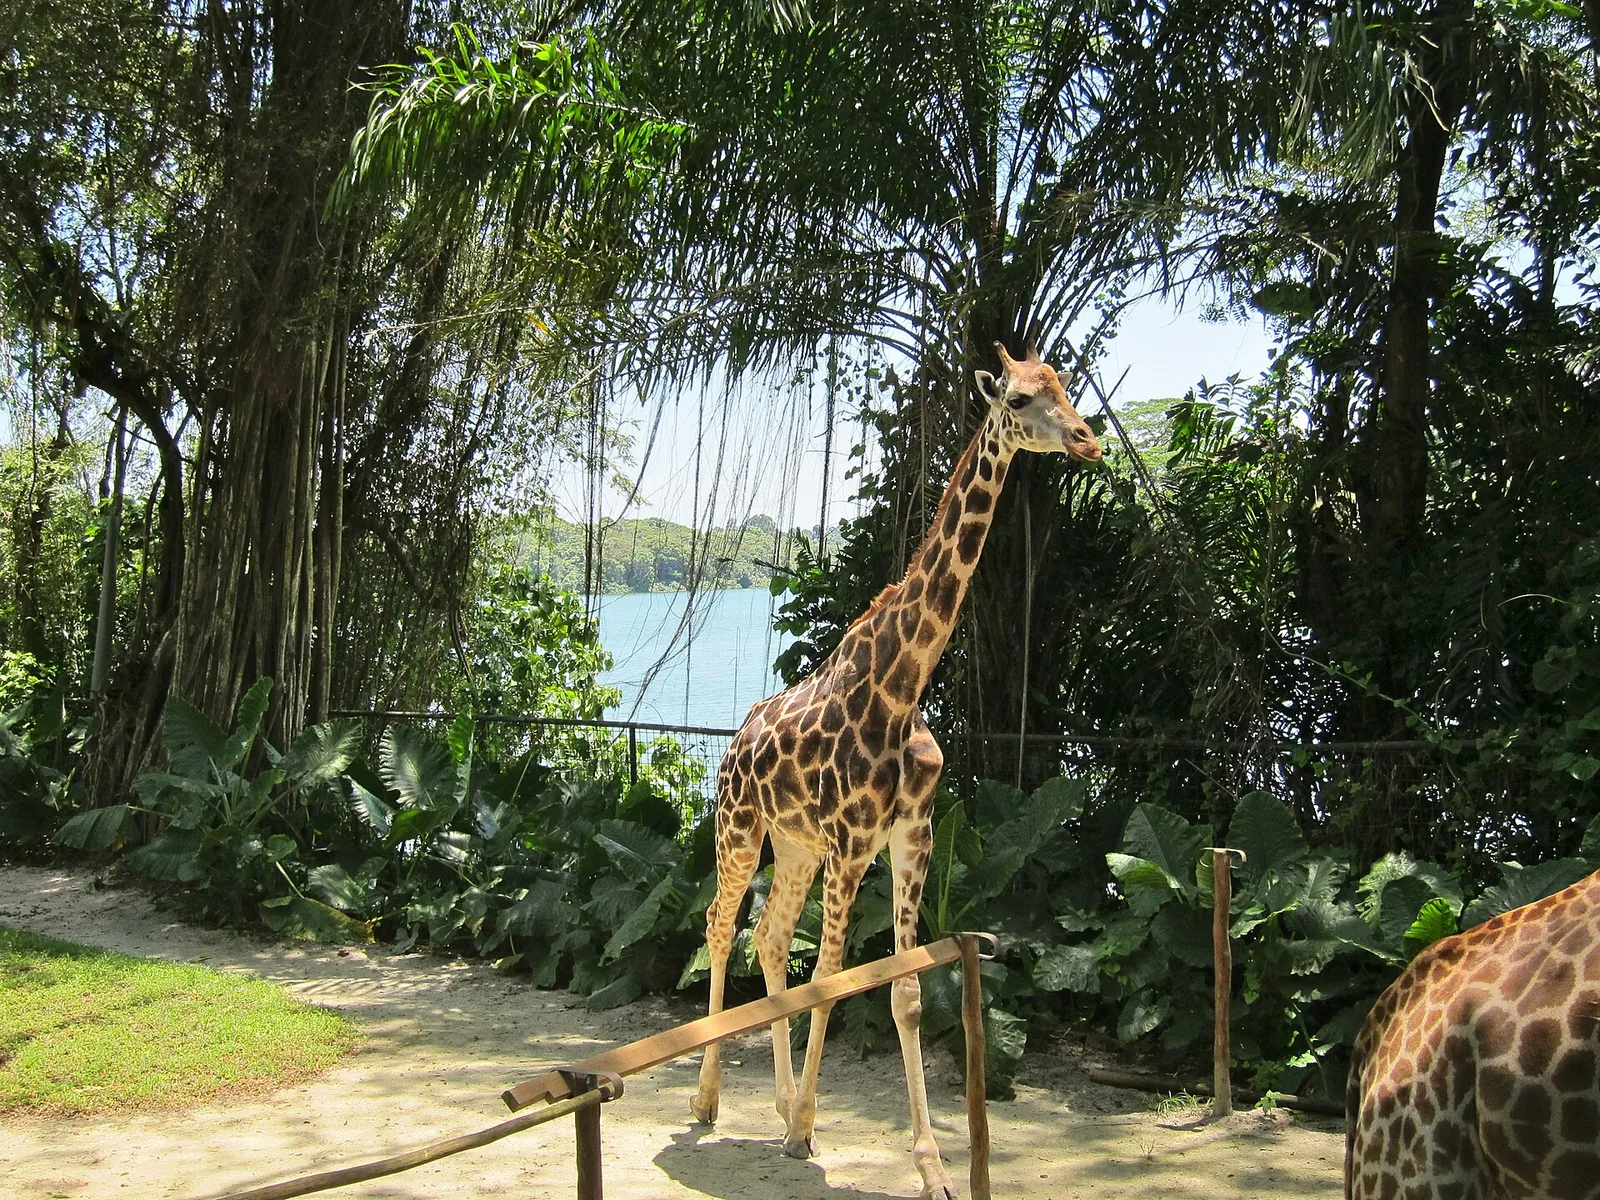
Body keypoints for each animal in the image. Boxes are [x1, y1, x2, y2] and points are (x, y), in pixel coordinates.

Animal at [689, 343, 1102, 1199]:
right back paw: (711, 1101)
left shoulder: (912, 836)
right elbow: (834, 974)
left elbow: (906, 992)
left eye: (1064, 387)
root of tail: (735, 741)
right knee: (719, 926)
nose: (1088, 440)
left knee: (768, 940)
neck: (903, 686)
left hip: (796, 847)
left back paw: (779, 1104)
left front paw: (931, 1164)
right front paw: (806, 1131)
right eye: (1019, 399)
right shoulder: (854, 842)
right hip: (741, 828)